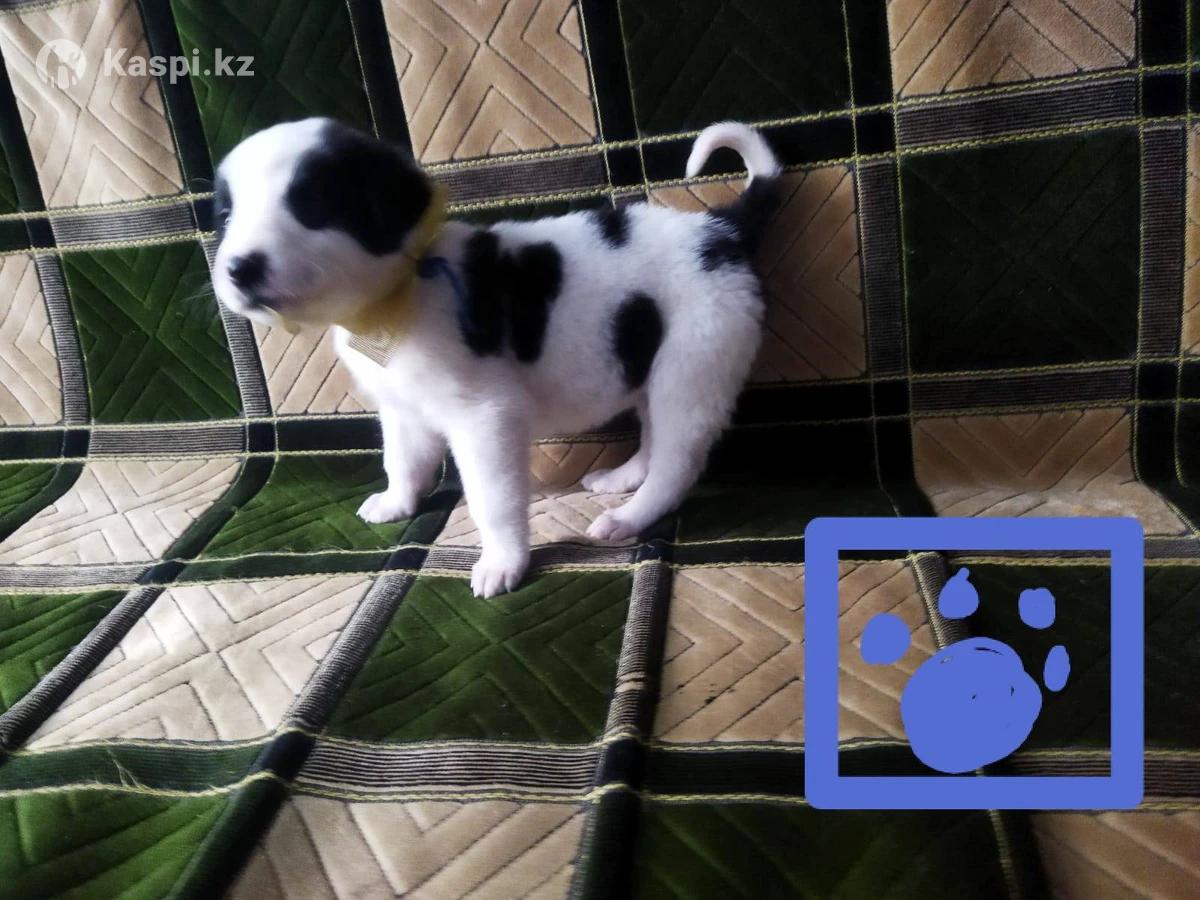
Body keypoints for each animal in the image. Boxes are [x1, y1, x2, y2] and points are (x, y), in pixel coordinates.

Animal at [211, 118, 780, 597]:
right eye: (226, 215)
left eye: (310, 204)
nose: (238, 269)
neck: (398, 296)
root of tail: (719, 230)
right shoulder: (403, 410)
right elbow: (402, 460)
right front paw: (397, 502)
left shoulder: (484, 419)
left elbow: (492, 499)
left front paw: (503, 563)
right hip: (649, 365)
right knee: (653, 437)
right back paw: (621, 479)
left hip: (692, 368)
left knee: (676, 463)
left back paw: (628, 517)